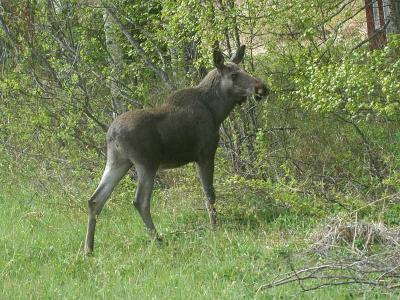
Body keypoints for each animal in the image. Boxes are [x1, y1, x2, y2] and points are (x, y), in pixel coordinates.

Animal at [84, 45, 268, 254]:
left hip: (118, 162)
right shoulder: (205, 153)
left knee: (95, 200)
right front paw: (215, 226)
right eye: (234, 75)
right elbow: (209, 193)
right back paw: (157, 239)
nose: (262, 87)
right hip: (146, 163)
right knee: (140, 201)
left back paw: (88, 249)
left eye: (243, 70)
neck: (217, 111)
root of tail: (111, 134)